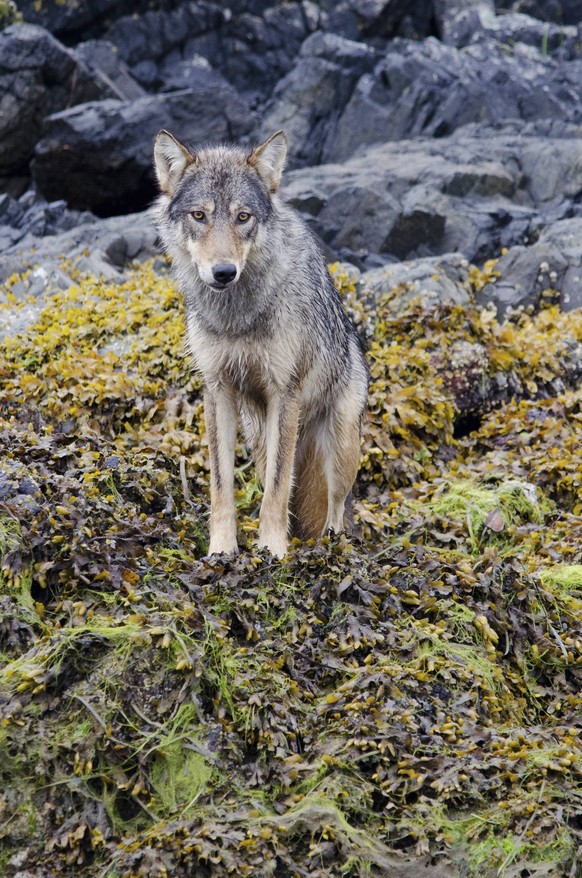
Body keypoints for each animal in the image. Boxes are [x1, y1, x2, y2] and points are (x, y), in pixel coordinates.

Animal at [153, 128, 369, 558]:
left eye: (243, 217)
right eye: (199, 215)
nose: (223, 272)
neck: (237, 318)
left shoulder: (285, 390)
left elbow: (276, 488)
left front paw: (272, 550)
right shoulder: (217, 388)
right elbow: (222, 487)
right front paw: (221, 551)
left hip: (338, 445)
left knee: (336, 510)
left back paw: (330, 549)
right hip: (258, 435)